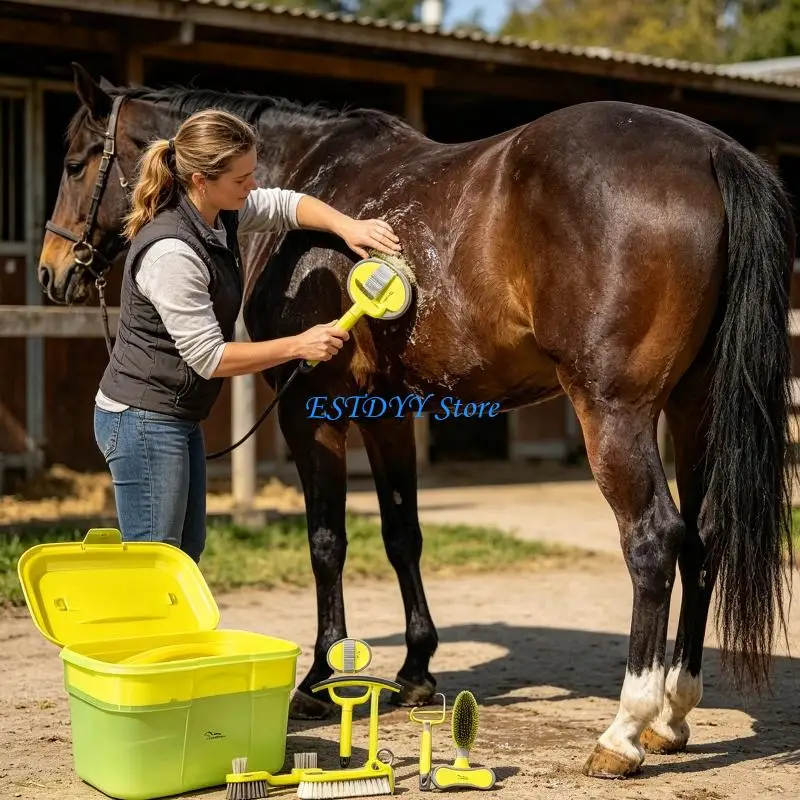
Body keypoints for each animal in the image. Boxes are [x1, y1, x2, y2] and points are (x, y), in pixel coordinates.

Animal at [38, 62, 795, 779]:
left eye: (74, 160)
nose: (51, 271)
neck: (306, 178)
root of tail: (711, 152)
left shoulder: (313, 409)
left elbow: (327, 541)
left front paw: (319, 678)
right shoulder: (389, 411)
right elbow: (403, 535)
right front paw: (415, 672)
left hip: (614, 412)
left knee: (654, 540)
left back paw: (624, 732)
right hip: (695, 407)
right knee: (704, 539)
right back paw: (673, 715)